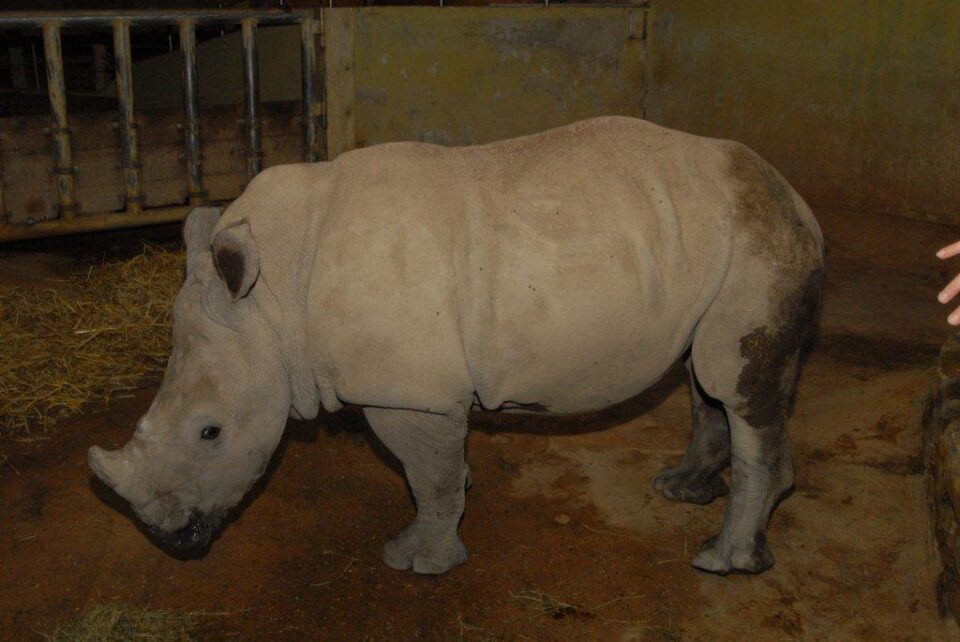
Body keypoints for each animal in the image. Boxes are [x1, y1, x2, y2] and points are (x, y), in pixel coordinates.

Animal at [88, 116, 823, 575]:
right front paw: (453, 512)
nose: (164, 535)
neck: (273, 300)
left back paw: (720, 561)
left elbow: (426, 476)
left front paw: (417, 562)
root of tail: (794, 197)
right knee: (710, 381)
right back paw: (681, 491)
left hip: (756, 250)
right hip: (724, 247)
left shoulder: (409, 393)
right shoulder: (420, 389)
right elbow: (441, 472)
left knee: (735, 384)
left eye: (210, 433)